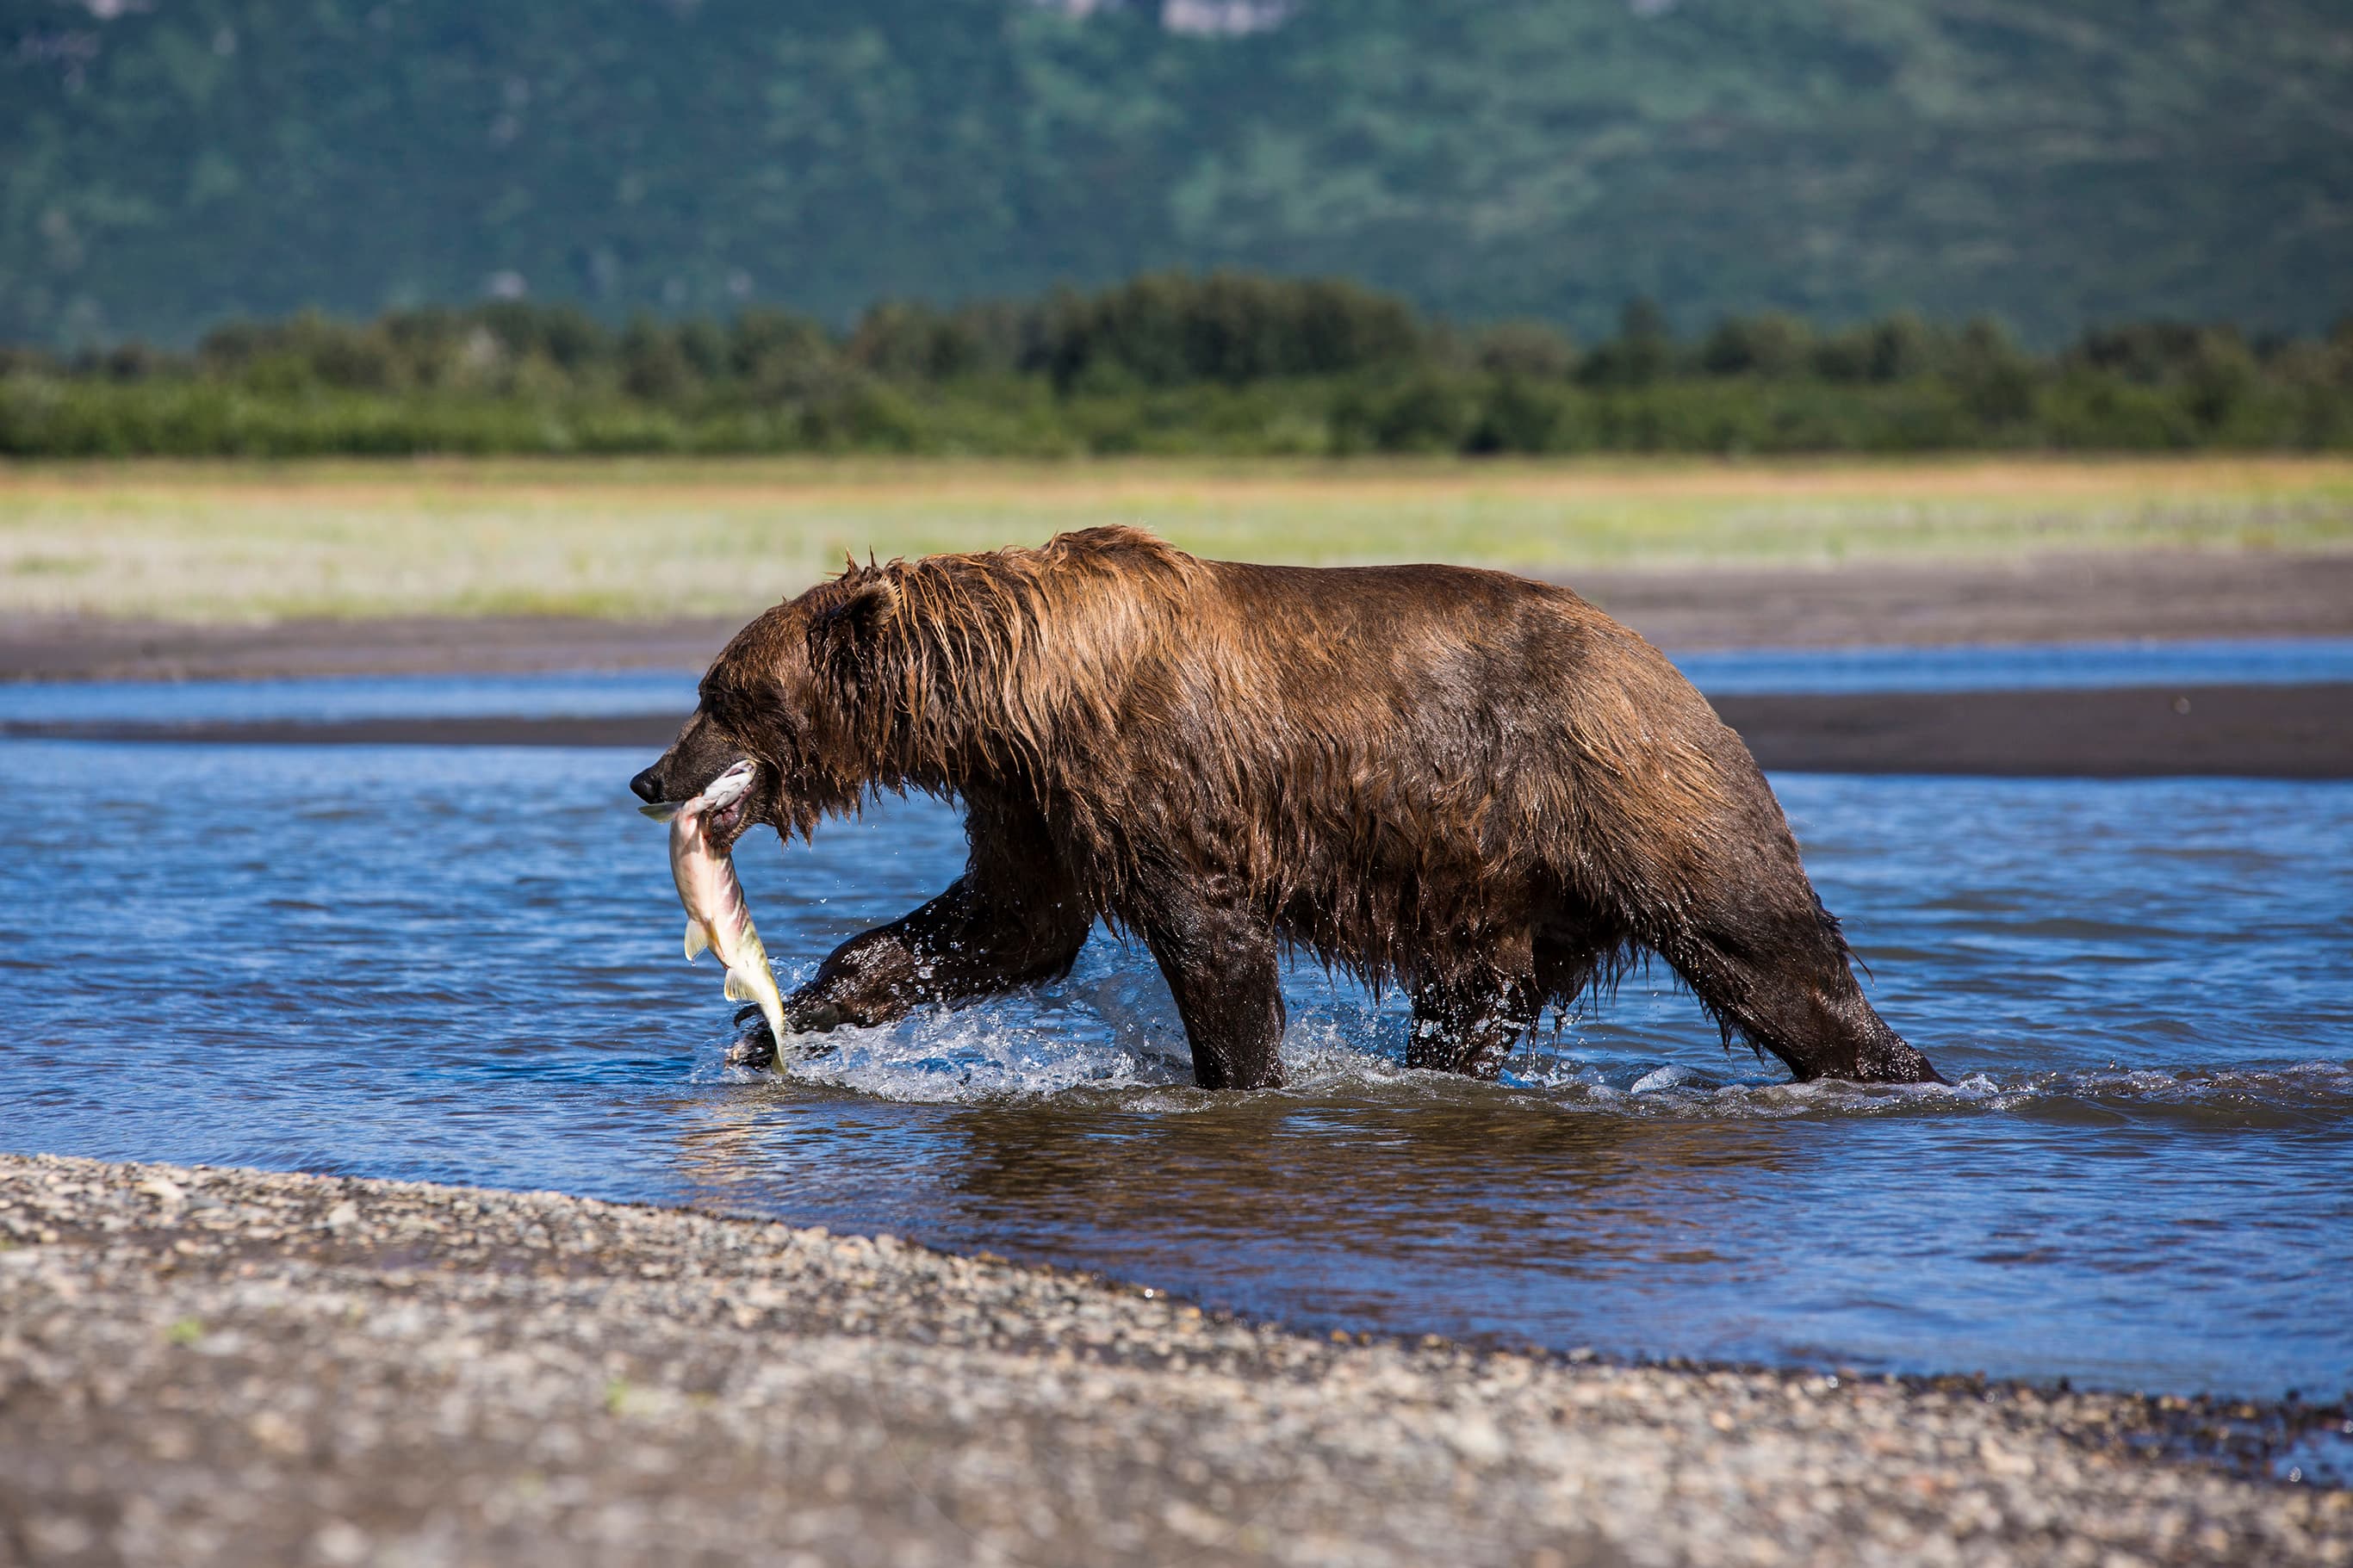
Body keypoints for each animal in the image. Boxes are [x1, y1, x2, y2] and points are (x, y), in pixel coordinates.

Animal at [628, 526, 1940, 1090]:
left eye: (721, 695)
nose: (649, 777)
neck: (1016, 694)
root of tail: (1669, 665)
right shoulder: (1034, 803)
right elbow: (1000, 927)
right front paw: (778, 1018)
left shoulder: (1150, 773)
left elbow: (1209, 942)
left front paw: (1241, 1077)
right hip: (1511, 897)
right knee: (1467, 1013)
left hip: (1638, 792)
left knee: (1770, 953)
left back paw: (1897, 1069)